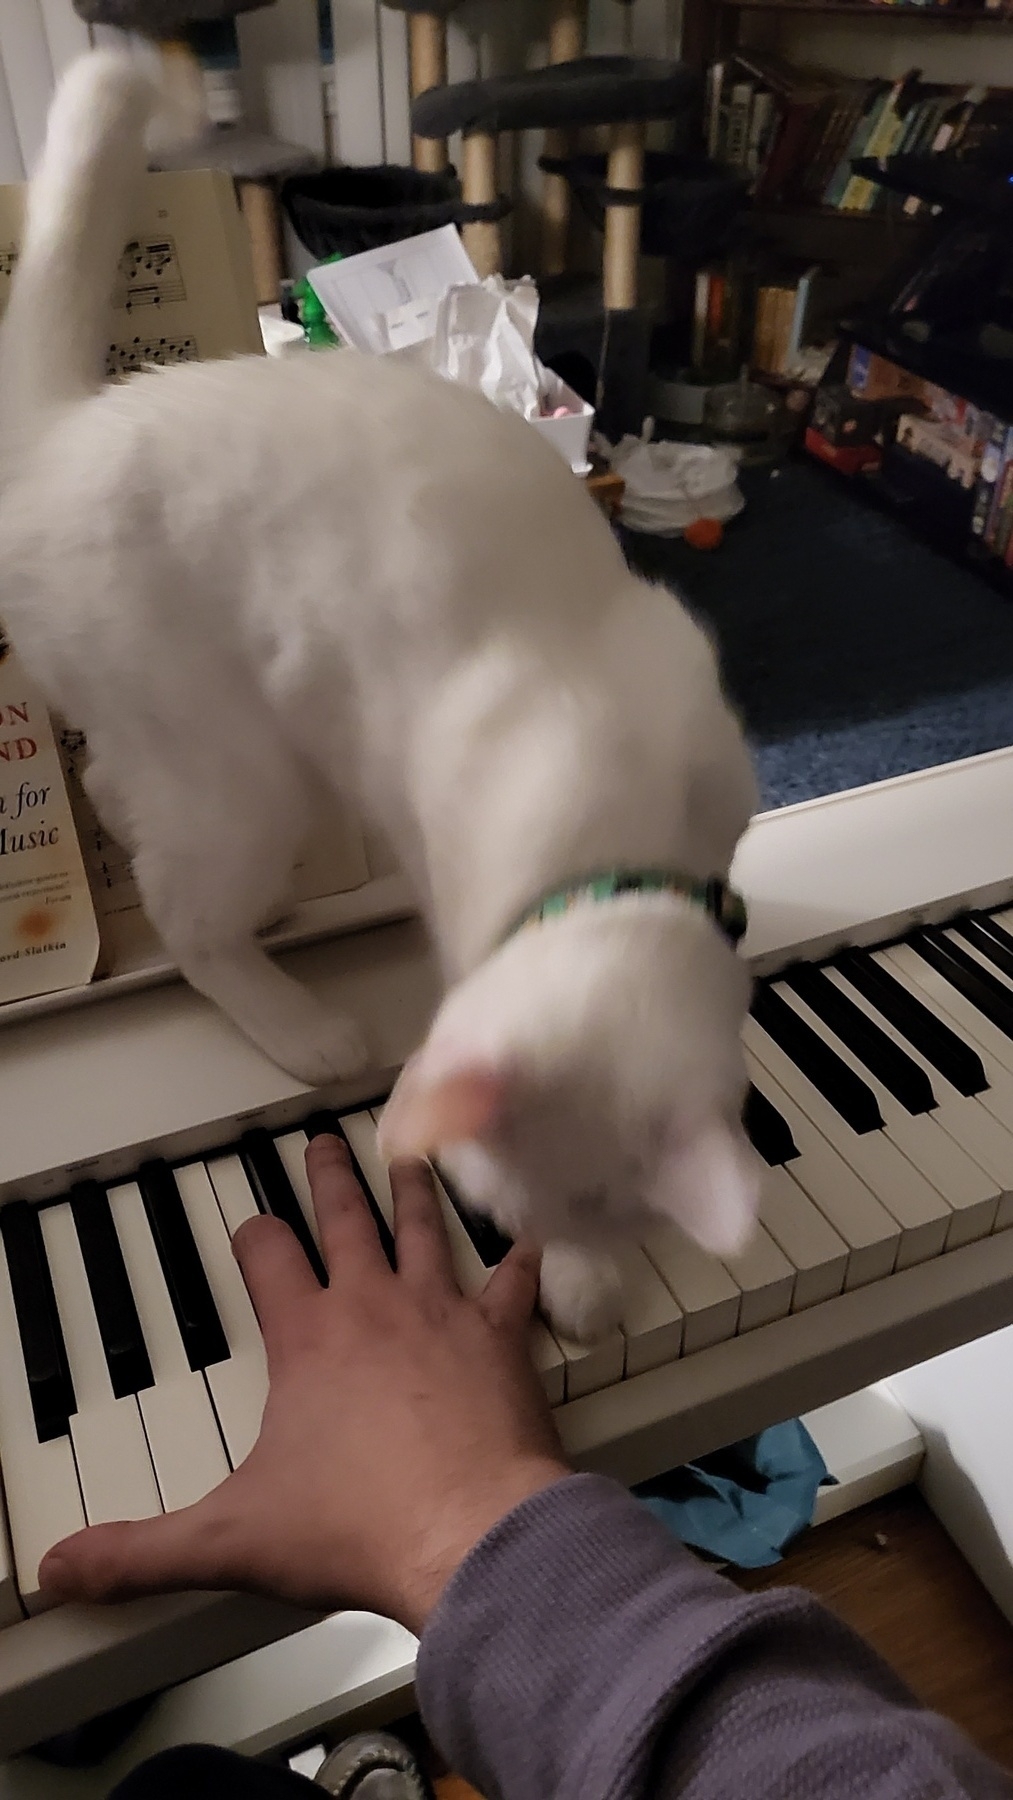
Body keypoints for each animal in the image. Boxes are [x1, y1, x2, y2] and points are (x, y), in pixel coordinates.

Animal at [0, 52, 762, 1339]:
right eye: (487, 1216)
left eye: (630, 1223)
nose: (564, 1303)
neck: (617, 844)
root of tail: (57, 432)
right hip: (245, 777)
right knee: (184, 910)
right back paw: (297, 1023)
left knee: (113, 785)